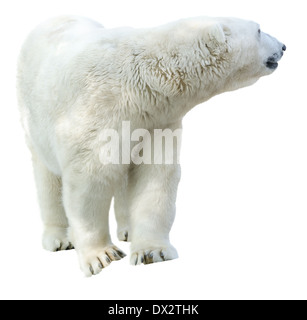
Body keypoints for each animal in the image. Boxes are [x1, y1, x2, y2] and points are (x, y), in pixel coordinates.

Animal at [16, 15, 286, 276]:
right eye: (259, 29)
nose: (283, 46)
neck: (141, 83)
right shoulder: (96, 112)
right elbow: (89, 180)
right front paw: (101, 256)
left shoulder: (156, 121)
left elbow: (154, 177)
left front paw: (151, 252)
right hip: (34, 116)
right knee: (48, 178)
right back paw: (59, 238)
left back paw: (127, 229)